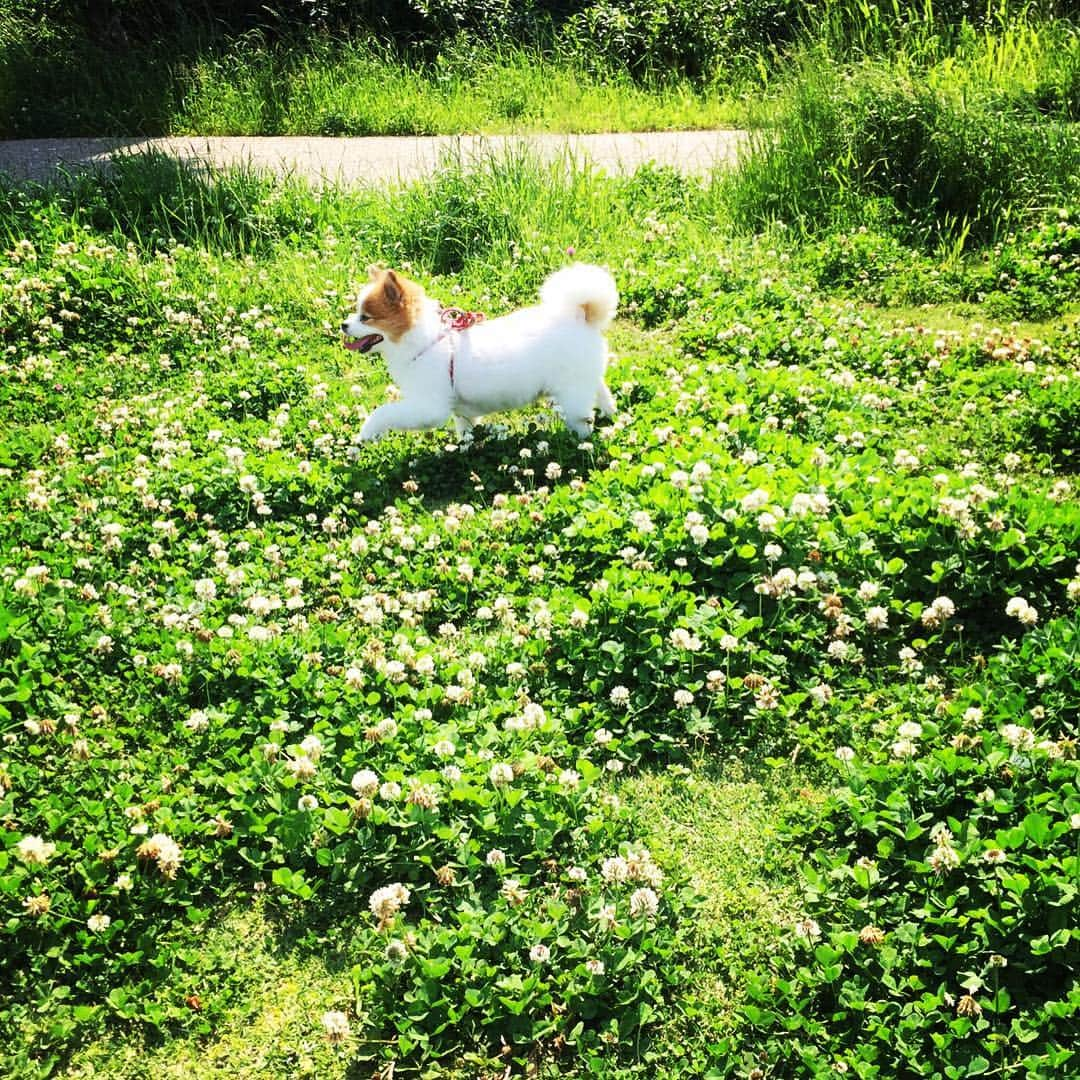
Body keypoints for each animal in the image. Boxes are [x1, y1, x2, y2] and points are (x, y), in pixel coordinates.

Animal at [341, 262, 622, 438]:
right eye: (356, 313)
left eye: (365, 317)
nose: (343, 325)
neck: (423, 344)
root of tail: (580, 314)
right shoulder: (457, 408)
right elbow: (465, 427)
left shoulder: (429, 407)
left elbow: (384, 412)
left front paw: (367, 431)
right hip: (585, 376)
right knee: (601, 390)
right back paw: (610, 412)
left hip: (571, 392)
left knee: (581, 419)